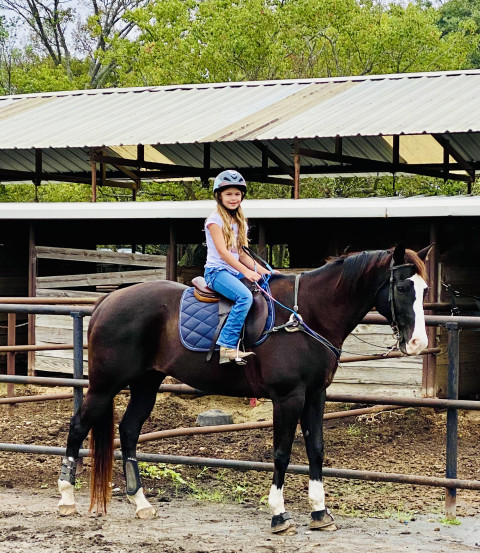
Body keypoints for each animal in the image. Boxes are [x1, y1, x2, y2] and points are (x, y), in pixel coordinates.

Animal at [58, 244, 430, 532]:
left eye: (425, 290)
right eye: (402, 287)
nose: (418, 343)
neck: (305, 316)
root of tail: (109, 300)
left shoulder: (315, 394)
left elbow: (316, 450)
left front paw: (320, 512)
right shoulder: (288, 397)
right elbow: (281, 453)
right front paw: (279, 516)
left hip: (146, 384)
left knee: (129, 431)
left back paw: (141, 503)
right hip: (105, 385)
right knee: (78, 426)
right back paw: (66, 498)